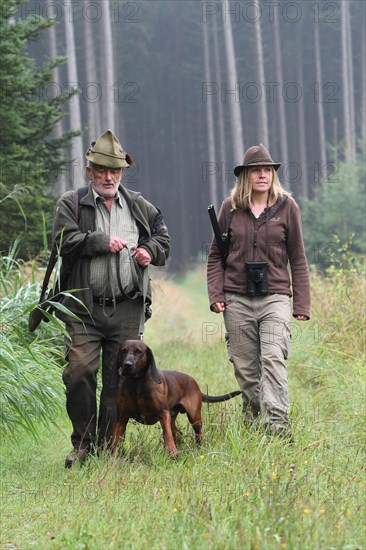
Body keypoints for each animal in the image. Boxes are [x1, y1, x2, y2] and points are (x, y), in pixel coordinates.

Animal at [110, 340, 242, 458]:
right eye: (123, 351)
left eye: (139, 352)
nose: (127, 365)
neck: (136, 384)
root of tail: (195, 383)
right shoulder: (121, 418)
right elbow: (116, 439)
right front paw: (114, 458)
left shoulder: (163, 414)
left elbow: (166, 433)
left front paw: (172, 451)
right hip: (173, 417)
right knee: (178, 433)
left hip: (194, 417)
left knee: (197, 434)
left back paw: (197, 449)